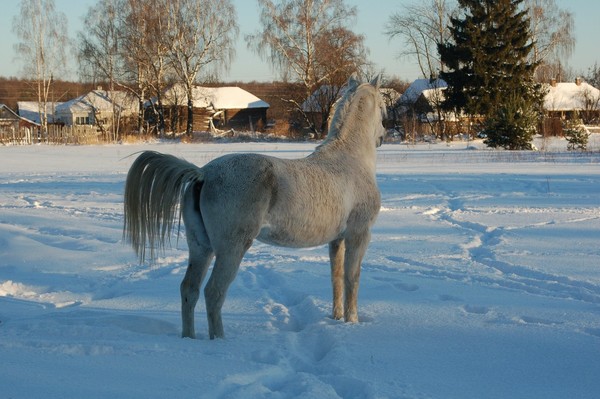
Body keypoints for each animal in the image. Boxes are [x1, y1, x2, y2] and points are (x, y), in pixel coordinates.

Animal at [124, 73, 386, 340]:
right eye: (383, 106)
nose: (382, 136)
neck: (350, 160)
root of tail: (203, 174)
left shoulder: (337, 239)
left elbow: (336, 278)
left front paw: (336, 318)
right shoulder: (358, 235)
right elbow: (352, 278)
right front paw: (352, 321)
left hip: (200, 247)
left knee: (190, 289)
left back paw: (190, 338)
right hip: (231, 249)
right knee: (213, 292)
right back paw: (220, 340)